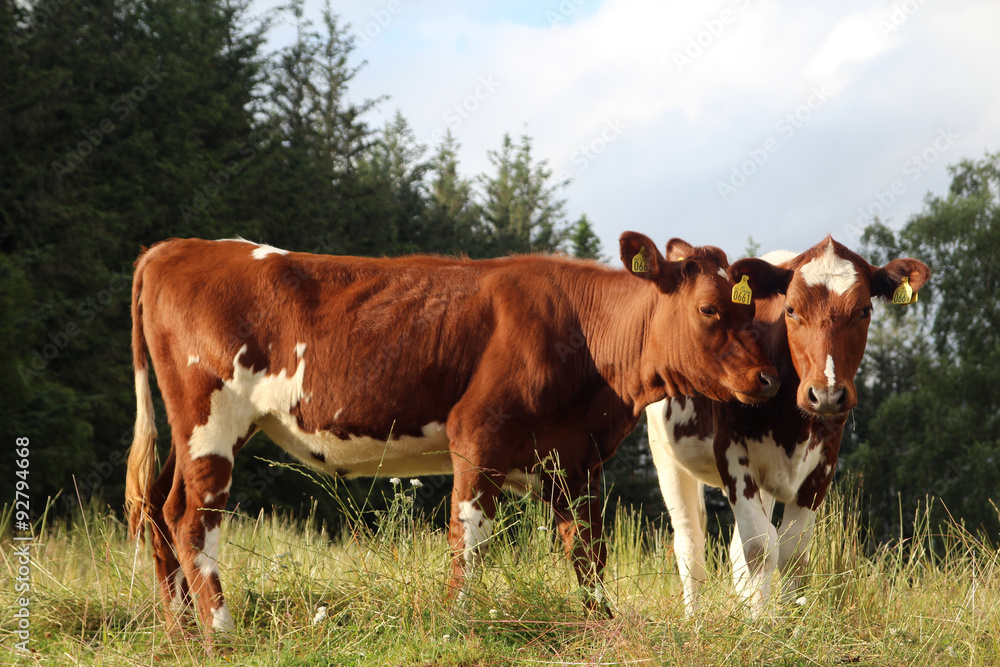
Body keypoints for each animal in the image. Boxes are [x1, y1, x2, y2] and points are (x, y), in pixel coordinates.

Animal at [125, 234, 780, 636]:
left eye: (749, 308)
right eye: (710, 310)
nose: (768, 378)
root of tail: (174, 248)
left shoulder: (576, 459)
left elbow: (587, 551)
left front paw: (602, 624)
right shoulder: (478, 437)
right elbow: (469, 540)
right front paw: (457, 622)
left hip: (192, 432)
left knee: (159, 507)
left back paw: (182, 633)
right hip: (211, 416)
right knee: (193, 519)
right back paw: (220, 633)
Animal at [648, 237, 928, 620]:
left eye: (864, 311)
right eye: (791, 310)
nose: (826, 393)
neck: (793, 423)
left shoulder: (824, 462)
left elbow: (792, 551)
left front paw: (789, 621)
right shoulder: (731, 451)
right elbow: (758, 547)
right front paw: (758, 622)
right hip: (666, 455)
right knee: (690, 541)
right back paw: (695, 618)